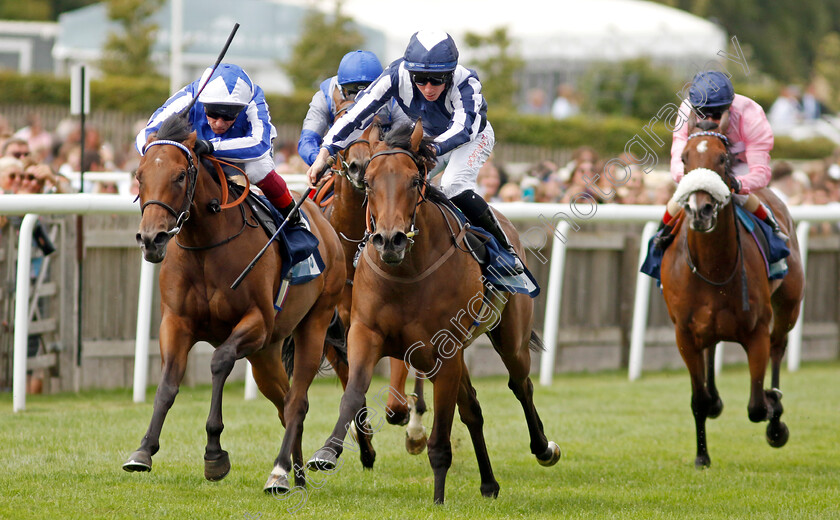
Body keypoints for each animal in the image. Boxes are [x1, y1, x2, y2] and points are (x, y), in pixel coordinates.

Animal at [124, 111, 344, 494]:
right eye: (140, 176)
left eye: (179, 176)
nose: (152, 239)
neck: (206, 245)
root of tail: (325, 224)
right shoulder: (176, 322)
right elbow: (167, 383)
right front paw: (144, 450)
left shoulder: (256, 322)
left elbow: (219, 361)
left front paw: (214, 453)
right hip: (266, 355)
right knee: (284, 402)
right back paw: (297, 474)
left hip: (312, 325)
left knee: (297, 401)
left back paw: (280, 472)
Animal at [306, 120, 556, 502]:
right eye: (370, 182)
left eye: (413, 180)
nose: (389, 240)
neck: (406, 272)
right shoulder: (363, 333)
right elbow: (353, 393)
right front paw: (328, 452)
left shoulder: (444, 350)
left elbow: (441, 434)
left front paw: (438, 498)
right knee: (473, 409)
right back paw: (489, 483)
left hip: (509, 337)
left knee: (520, 384)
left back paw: (543, 449)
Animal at [660, 116, 804, 470]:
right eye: (683, 158)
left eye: (722, 159)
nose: (700, 210)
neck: (713, 267)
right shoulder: (685, 334)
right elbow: (699, 400)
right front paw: (702, 455)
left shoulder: (756, 332)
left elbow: (756, 406)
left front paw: (773, 413)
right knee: (712, 352)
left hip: (788, 307)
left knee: (779, 347)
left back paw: (775, 409)